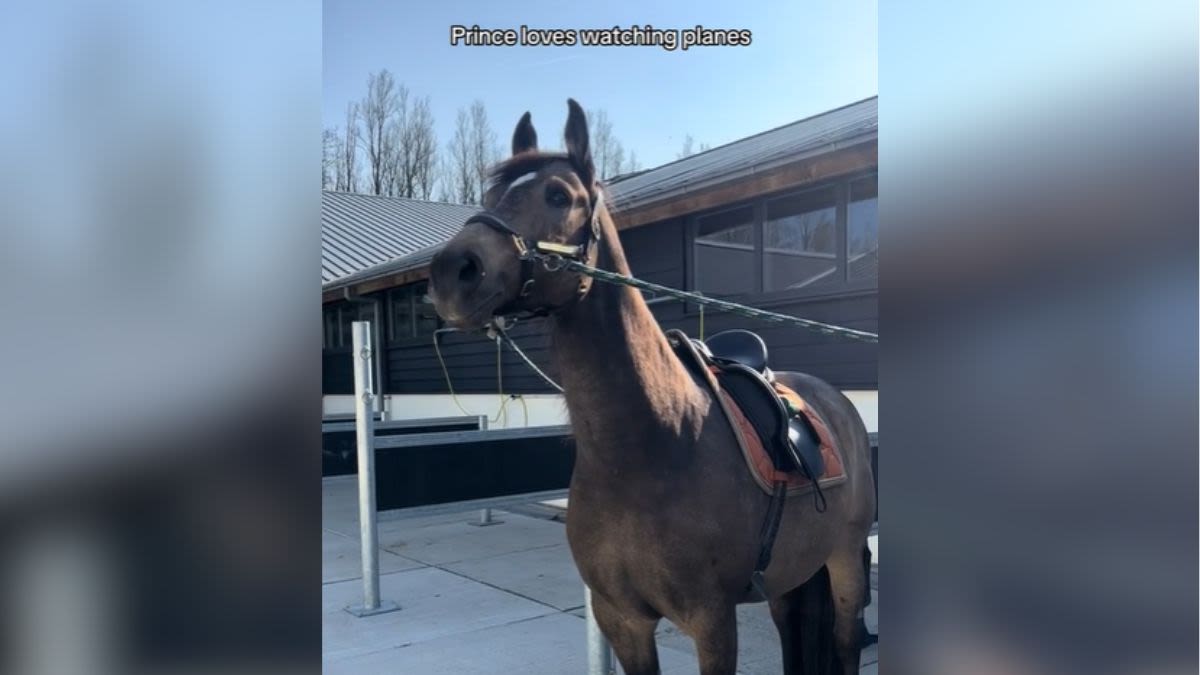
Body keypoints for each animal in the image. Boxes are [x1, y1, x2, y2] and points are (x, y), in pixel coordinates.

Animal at [429, 99, 873, 672]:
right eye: (488, 198)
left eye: (558, 195)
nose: (452, 271)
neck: (652, 445)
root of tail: (837, 402)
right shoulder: (622, 620)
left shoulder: (712, 622)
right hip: (791, 573)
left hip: (844, 559)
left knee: (845, 641)